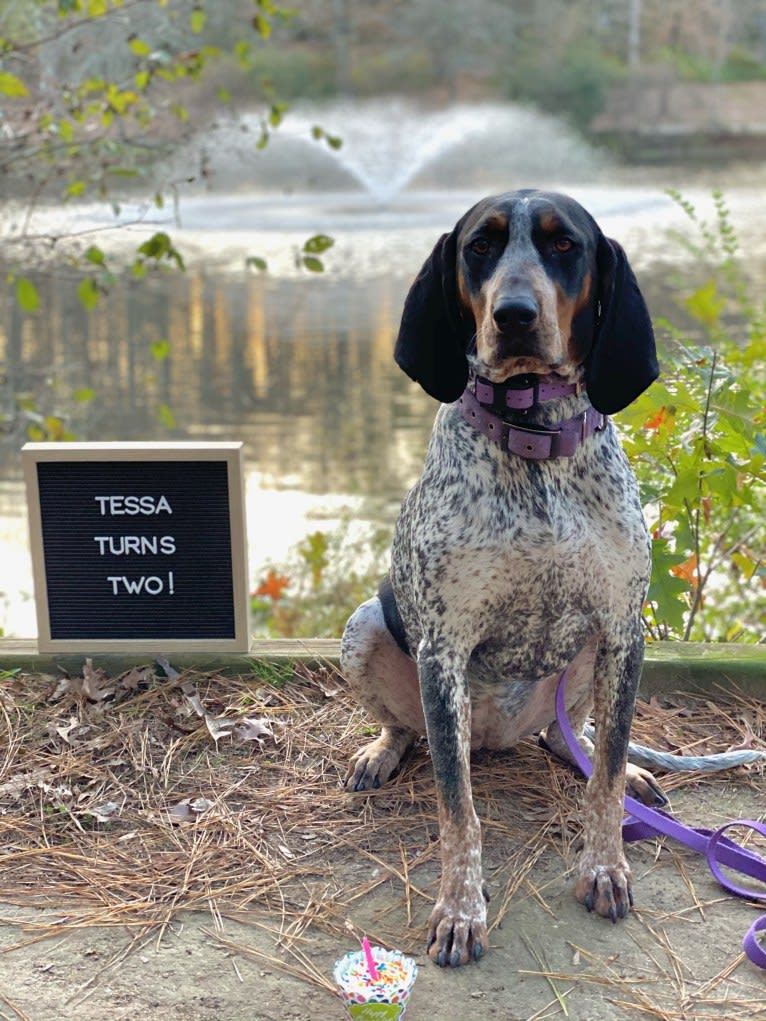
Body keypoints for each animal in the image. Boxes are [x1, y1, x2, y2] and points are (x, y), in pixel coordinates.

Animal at [341, 189, 665, 963]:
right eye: (480, 247)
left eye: (564, 245)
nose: (514, 313)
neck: (536, 440)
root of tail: (494, 734)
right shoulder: (443, 651)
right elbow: (459, 813)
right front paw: (460, 908)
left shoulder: (622, 630)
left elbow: (607, 777)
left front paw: (604, 864)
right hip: (367, 629)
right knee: (413, 733)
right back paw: (382, 750)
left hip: (585, 664)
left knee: (570, 738)